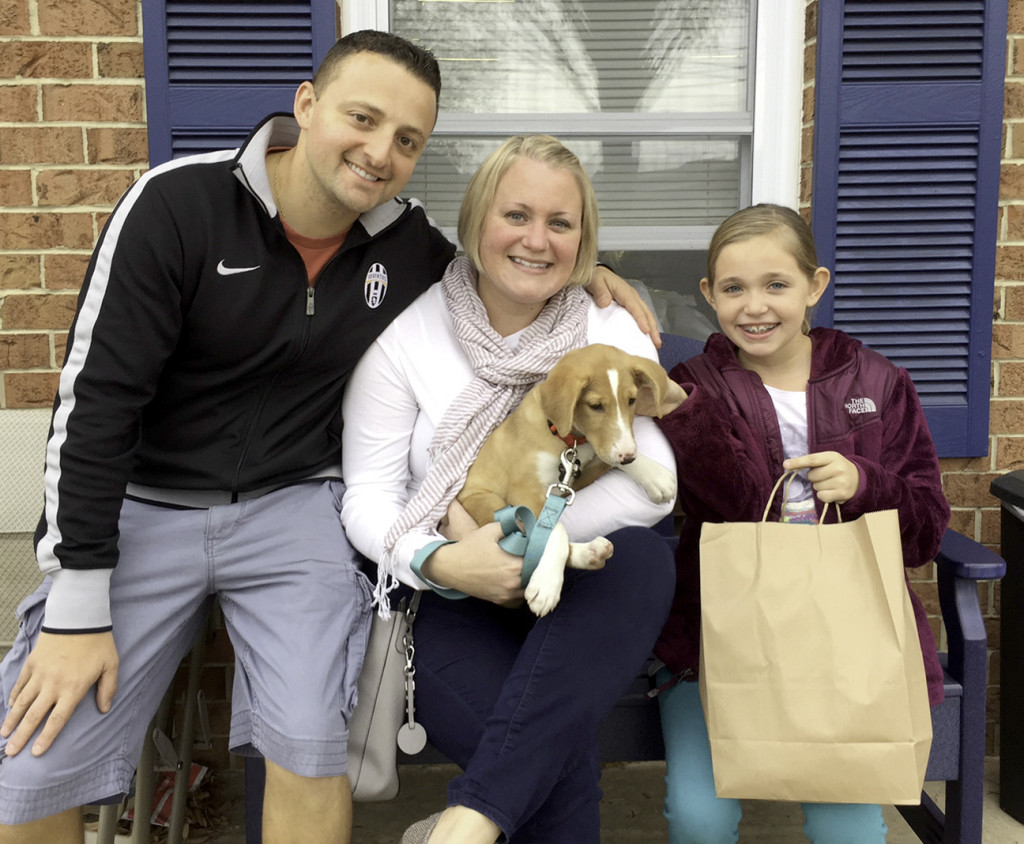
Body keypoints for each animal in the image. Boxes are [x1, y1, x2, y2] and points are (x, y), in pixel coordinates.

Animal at [458, 342, 684, 614]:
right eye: (595, 406)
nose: (628, 456)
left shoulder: (581, 469)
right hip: (490, 505)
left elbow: (607, 458)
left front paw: (653, 474)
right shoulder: (525, 490)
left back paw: (592, 553)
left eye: (631, 400)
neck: (565, 438)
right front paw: (547, 585)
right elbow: (554, 529)